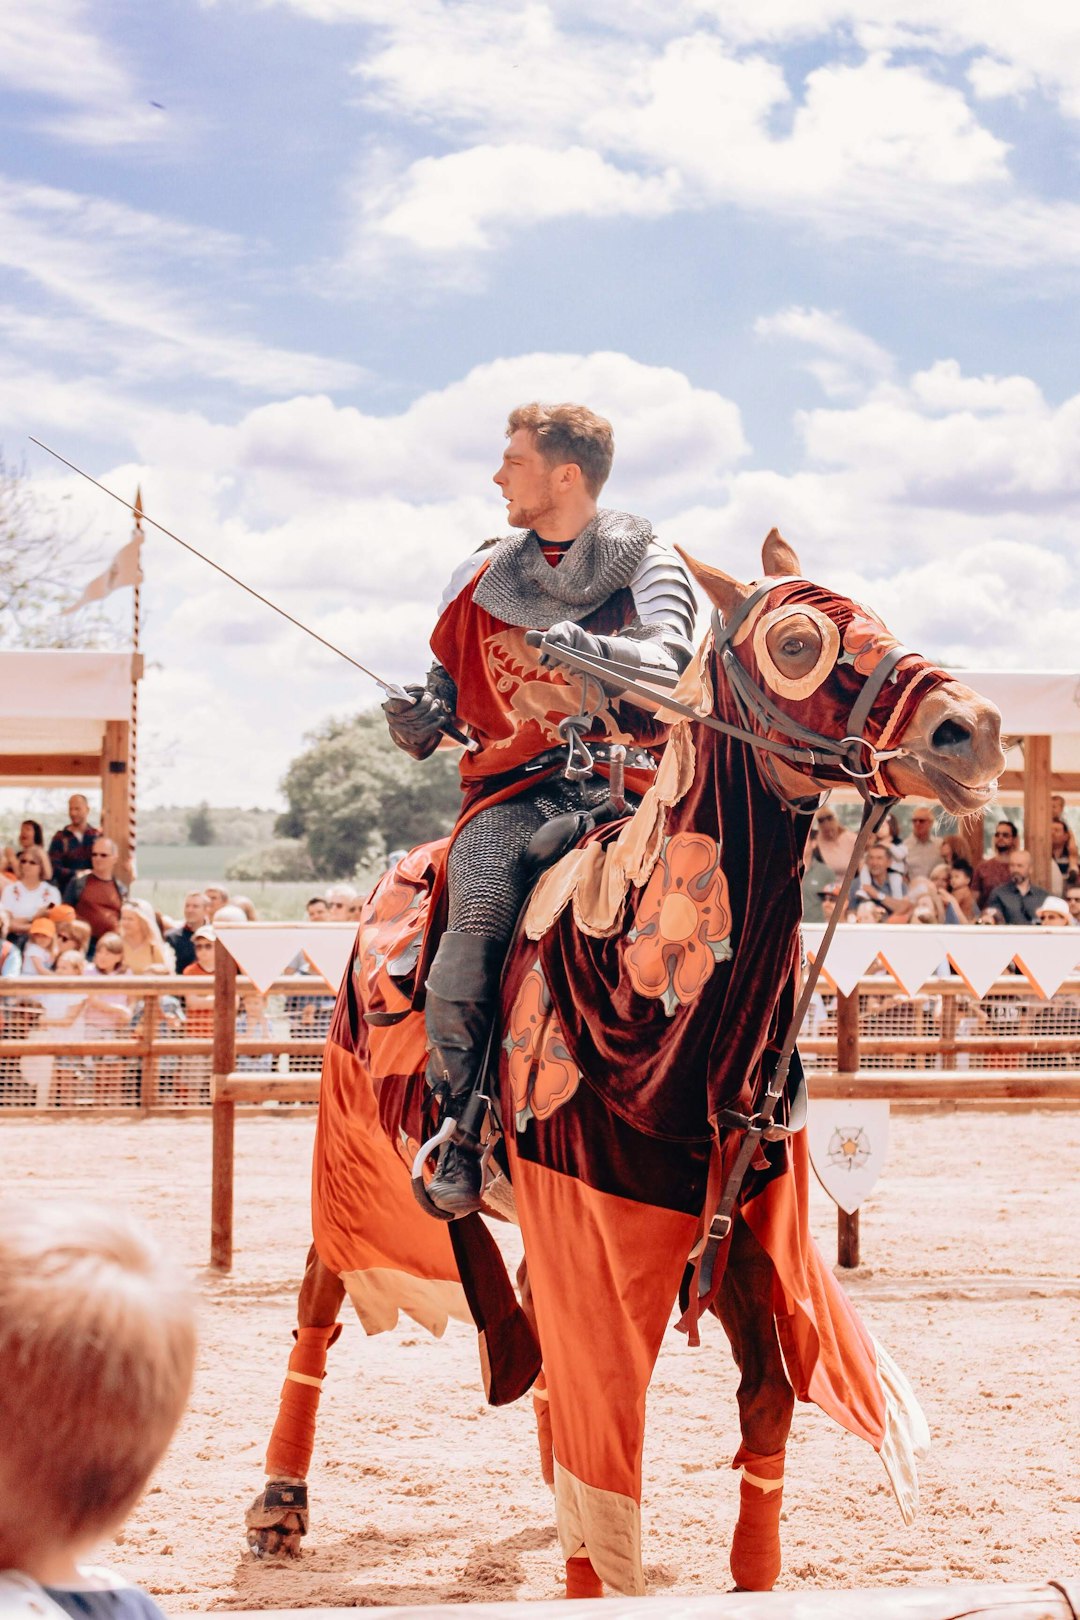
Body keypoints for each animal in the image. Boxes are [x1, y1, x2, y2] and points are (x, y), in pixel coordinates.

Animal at [244, 534, 1003, 1594]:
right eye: (797, 640)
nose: (972, 732)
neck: (651, 1009)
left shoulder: (737, 1232)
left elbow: (765, 1400)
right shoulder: (595, 1233)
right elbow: (608, 1429)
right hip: (354, 1146)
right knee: (323, 1289)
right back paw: (280, 1503)